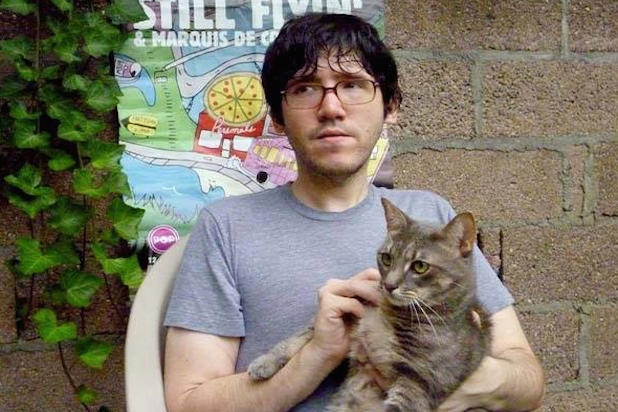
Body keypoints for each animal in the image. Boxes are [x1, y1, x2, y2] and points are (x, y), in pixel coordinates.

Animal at [248, 198, 491, 412]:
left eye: (420, 266)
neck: (391, 314)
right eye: (386, 258)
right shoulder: (353, 307)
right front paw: (265, 361)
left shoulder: (420, 381)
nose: (389, 285)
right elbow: (301, 335)